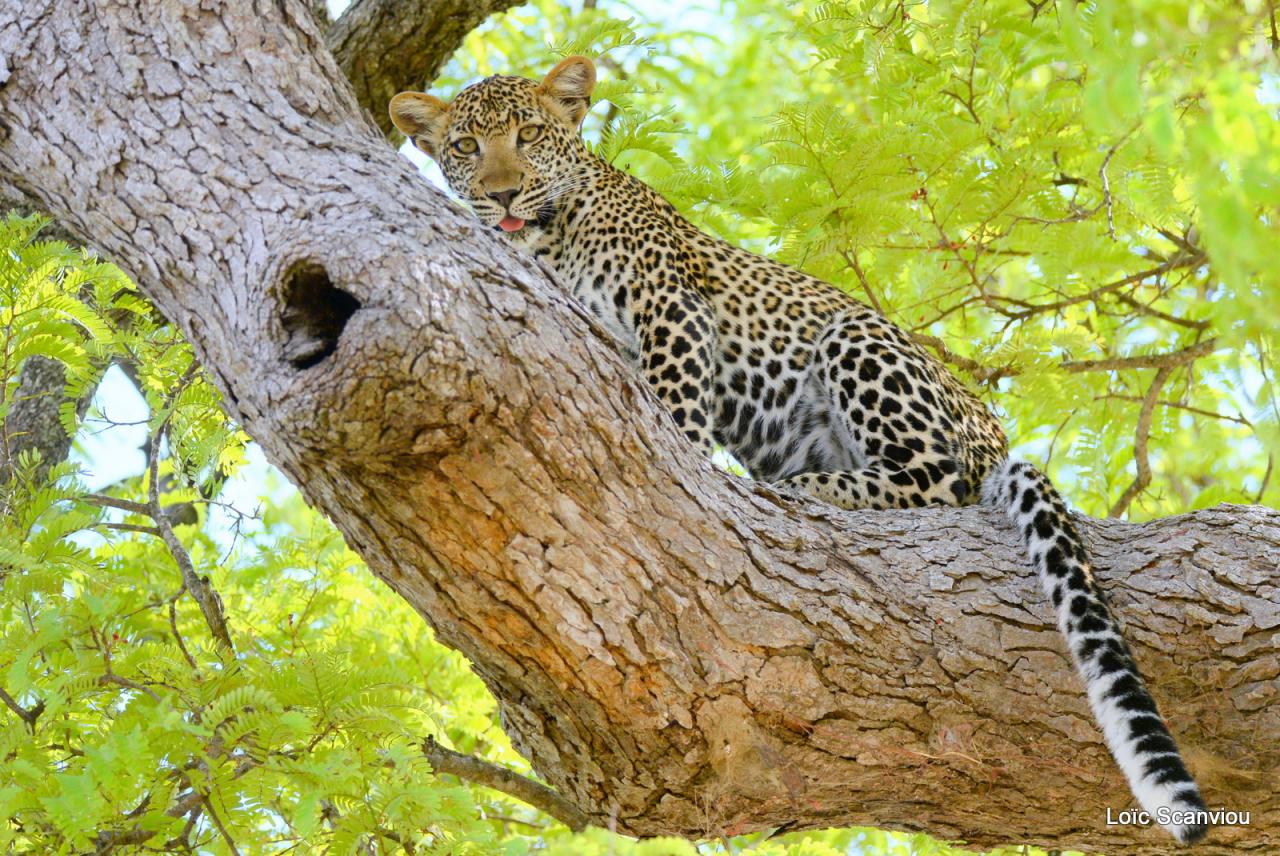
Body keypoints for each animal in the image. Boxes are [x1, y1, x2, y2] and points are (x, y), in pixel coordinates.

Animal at [389, 55, 1208, 839]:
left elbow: (674, 411)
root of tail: (993, 430)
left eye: (529, 135)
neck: (551, 240)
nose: (502, 195)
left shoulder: (672, 313)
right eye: (465, 148)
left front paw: (684, 461)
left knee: (936, 481)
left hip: (856, 338)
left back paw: (807, 489)